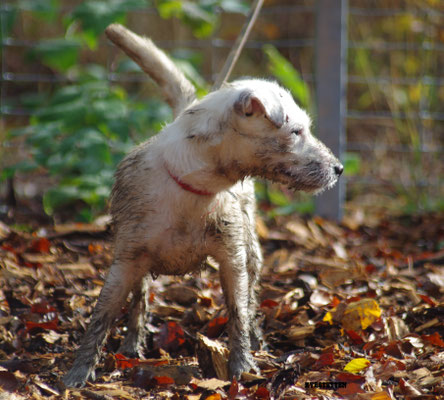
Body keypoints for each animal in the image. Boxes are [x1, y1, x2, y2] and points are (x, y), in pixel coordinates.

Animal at [62, 23, 342, 386]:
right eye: (296, 132)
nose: (338, 168)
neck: (193, 188)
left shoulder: (232, 260)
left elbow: (238, 313)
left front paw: (242, 365)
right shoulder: (124, 262)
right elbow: (101, 316)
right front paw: (78, 372)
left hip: (251, 252)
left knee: (250, 301)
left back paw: (257, 341)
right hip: (136, 264)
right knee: (140, 301)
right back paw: (131, 345)